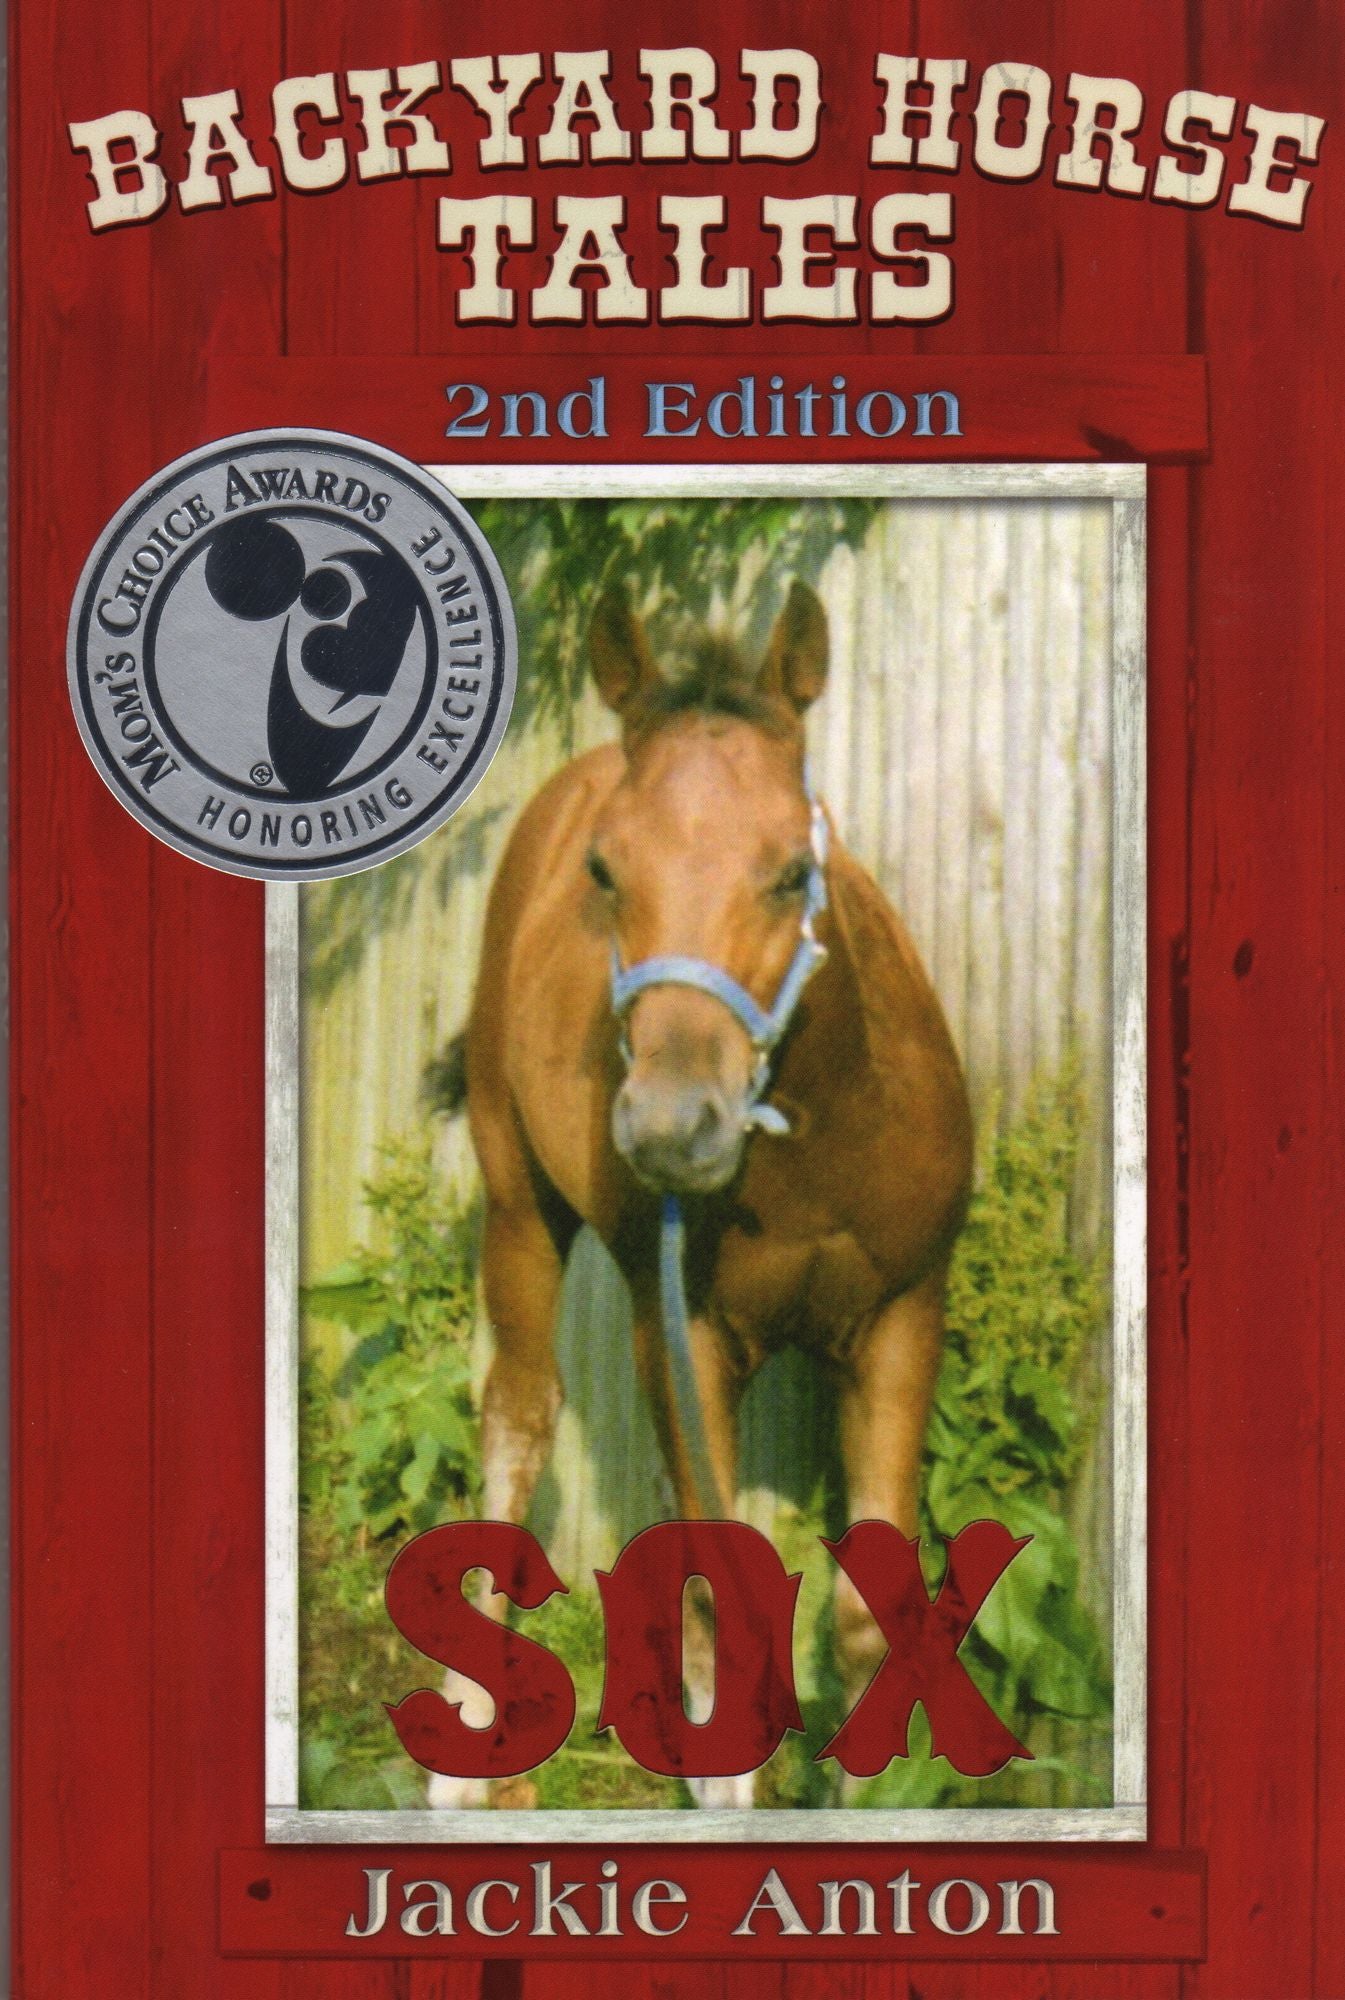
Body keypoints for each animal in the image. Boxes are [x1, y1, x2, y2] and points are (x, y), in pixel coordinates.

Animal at [431, 578, 972, 1809]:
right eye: (603, 873)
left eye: (791, 870)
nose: (674, 1129)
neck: (816, 1151)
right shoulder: (692, 1329)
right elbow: (738, 1611)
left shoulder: (902, 1318)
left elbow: (862, 1623)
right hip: (522, 1207)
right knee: (519, 1415)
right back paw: (465, 1747)